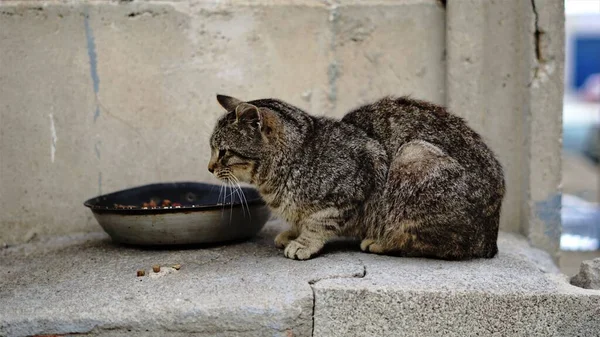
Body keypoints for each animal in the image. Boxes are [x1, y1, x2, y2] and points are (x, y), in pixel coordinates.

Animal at [209, 94, 504, 260]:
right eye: (212, 148)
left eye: (223, 151)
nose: (209, 167)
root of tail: (490, 241)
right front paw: (292, 232)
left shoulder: (358, 179)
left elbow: (318, 222)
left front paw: (303, 243)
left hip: (412, 156)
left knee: (437, 245)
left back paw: (381, 242)